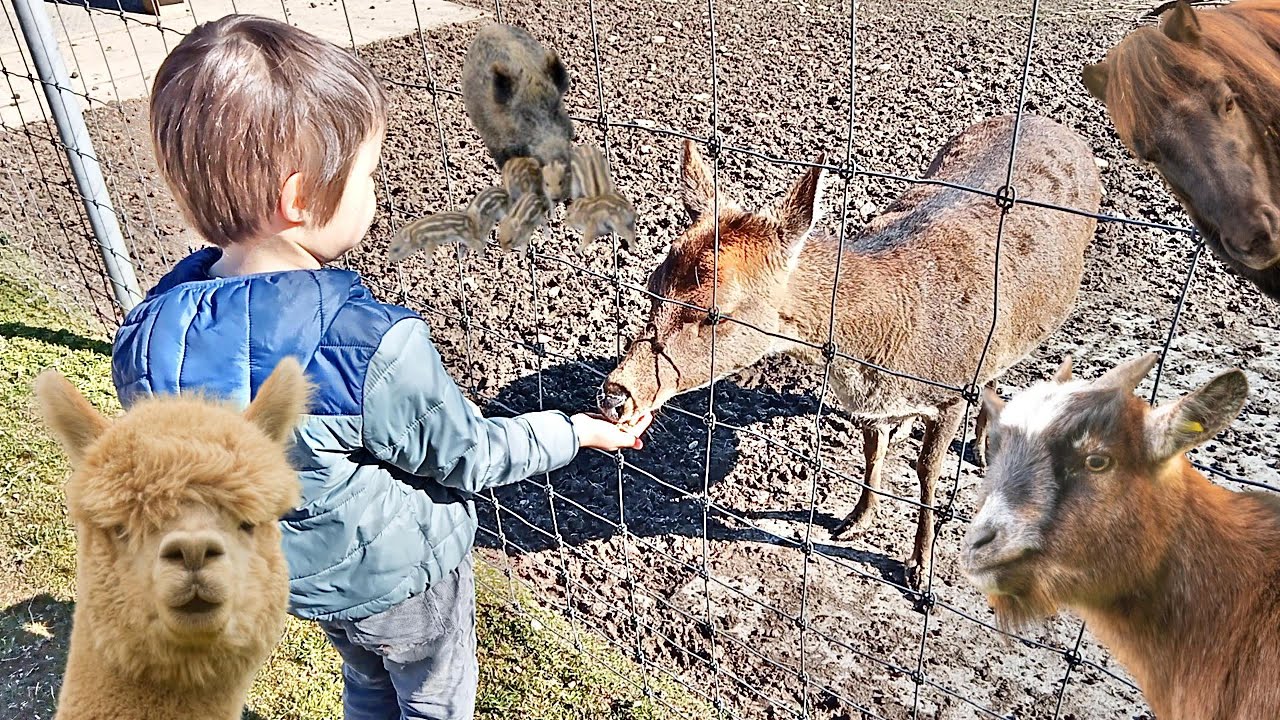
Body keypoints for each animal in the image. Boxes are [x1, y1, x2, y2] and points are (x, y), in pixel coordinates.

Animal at [599, 114, 1102, 588]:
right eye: (652, 284)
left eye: (717, 312)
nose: (617, 394)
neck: (884, 351)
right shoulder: (870, 402)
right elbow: (872, 452)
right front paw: (854, 518)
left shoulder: (952, 389)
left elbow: (928, 473)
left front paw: (919, 569)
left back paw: (981, 447)